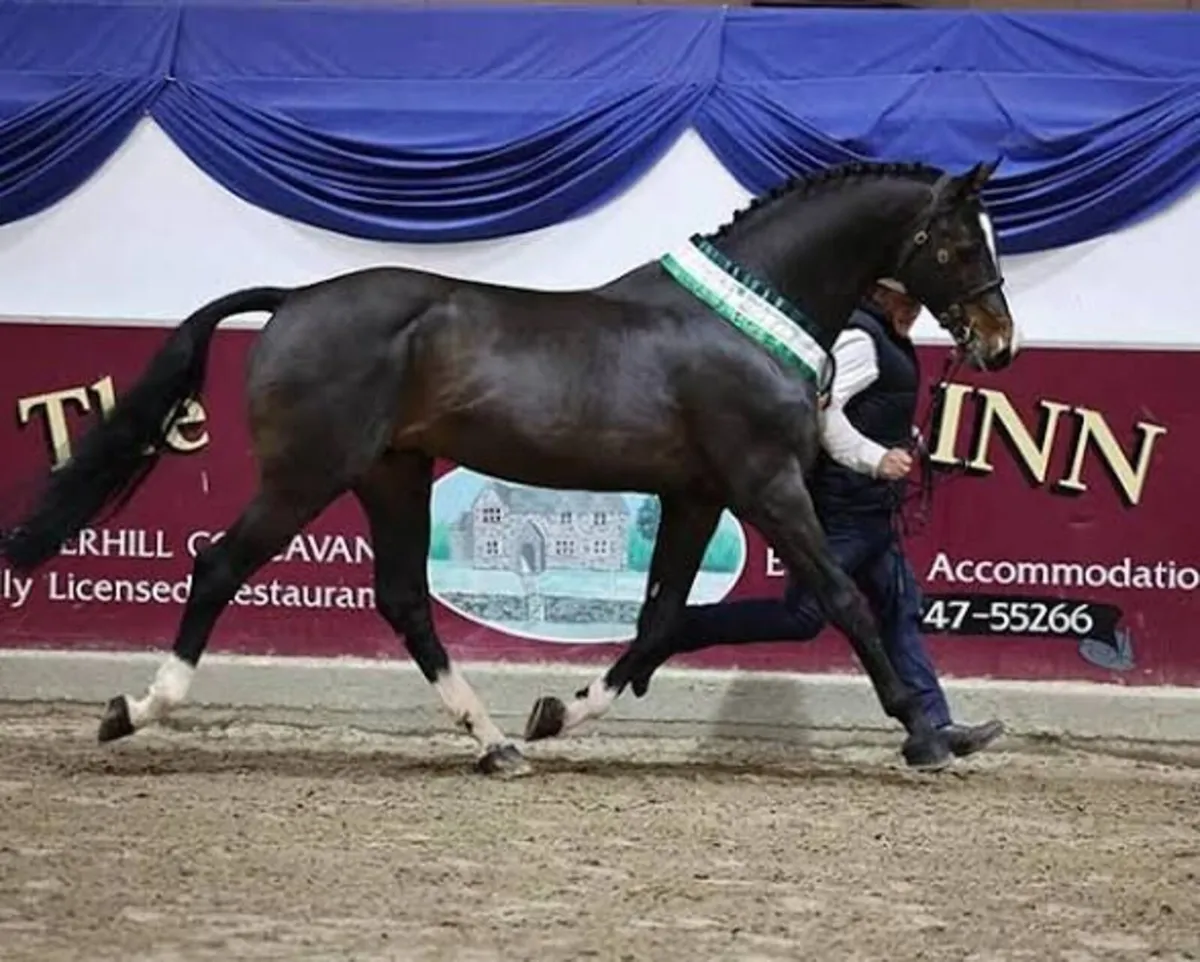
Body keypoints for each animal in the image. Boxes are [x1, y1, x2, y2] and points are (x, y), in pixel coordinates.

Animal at [0, 159, 1016, 778]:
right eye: (961, 241)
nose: (998, 342)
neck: (740, 321)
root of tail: (294, 299)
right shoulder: (764, 483)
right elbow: (844, 600)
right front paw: (926, 735)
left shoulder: (694, 495)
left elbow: (659, 619)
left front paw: (559, 713)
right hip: (308, 476)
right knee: (217, 567)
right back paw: (133, 710)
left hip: (394, 473)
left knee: (405, 601)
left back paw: (495, 745)